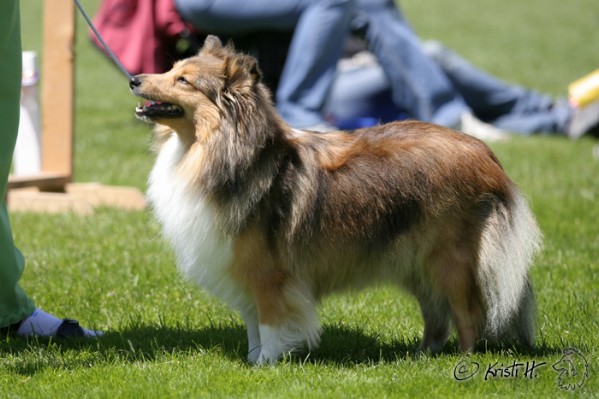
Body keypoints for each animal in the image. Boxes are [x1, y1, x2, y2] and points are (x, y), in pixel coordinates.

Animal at [131, 36, 544, 364]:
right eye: (171, 68)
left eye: (183, 80)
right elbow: (252, 326)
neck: (213, 150)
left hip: (448, 259)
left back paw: (462, 362)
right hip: (415, 261)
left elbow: (269, 324)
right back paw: (420, 356)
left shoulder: (269, 275)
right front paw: (252, 362)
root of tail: (484, 153)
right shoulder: (242, 269)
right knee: (437, 315)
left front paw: (266, 365)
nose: (134, 79)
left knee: (469, 313)